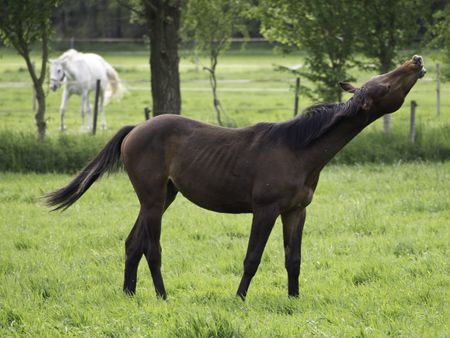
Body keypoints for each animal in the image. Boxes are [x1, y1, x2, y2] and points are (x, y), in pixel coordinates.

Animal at [45, 56, 426, 302]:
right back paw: (162, 296)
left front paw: (294, 302)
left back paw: (129, 294)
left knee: (132, 244)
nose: (417, 60)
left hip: (163, 196)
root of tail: (135, 128)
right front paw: (239, 299)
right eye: (385, 82)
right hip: (153, 200)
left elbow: (293, 259)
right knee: (152, 248)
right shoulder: (265, 210)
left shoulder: (296, 212)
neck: (297, 149)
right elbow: (252, 257)